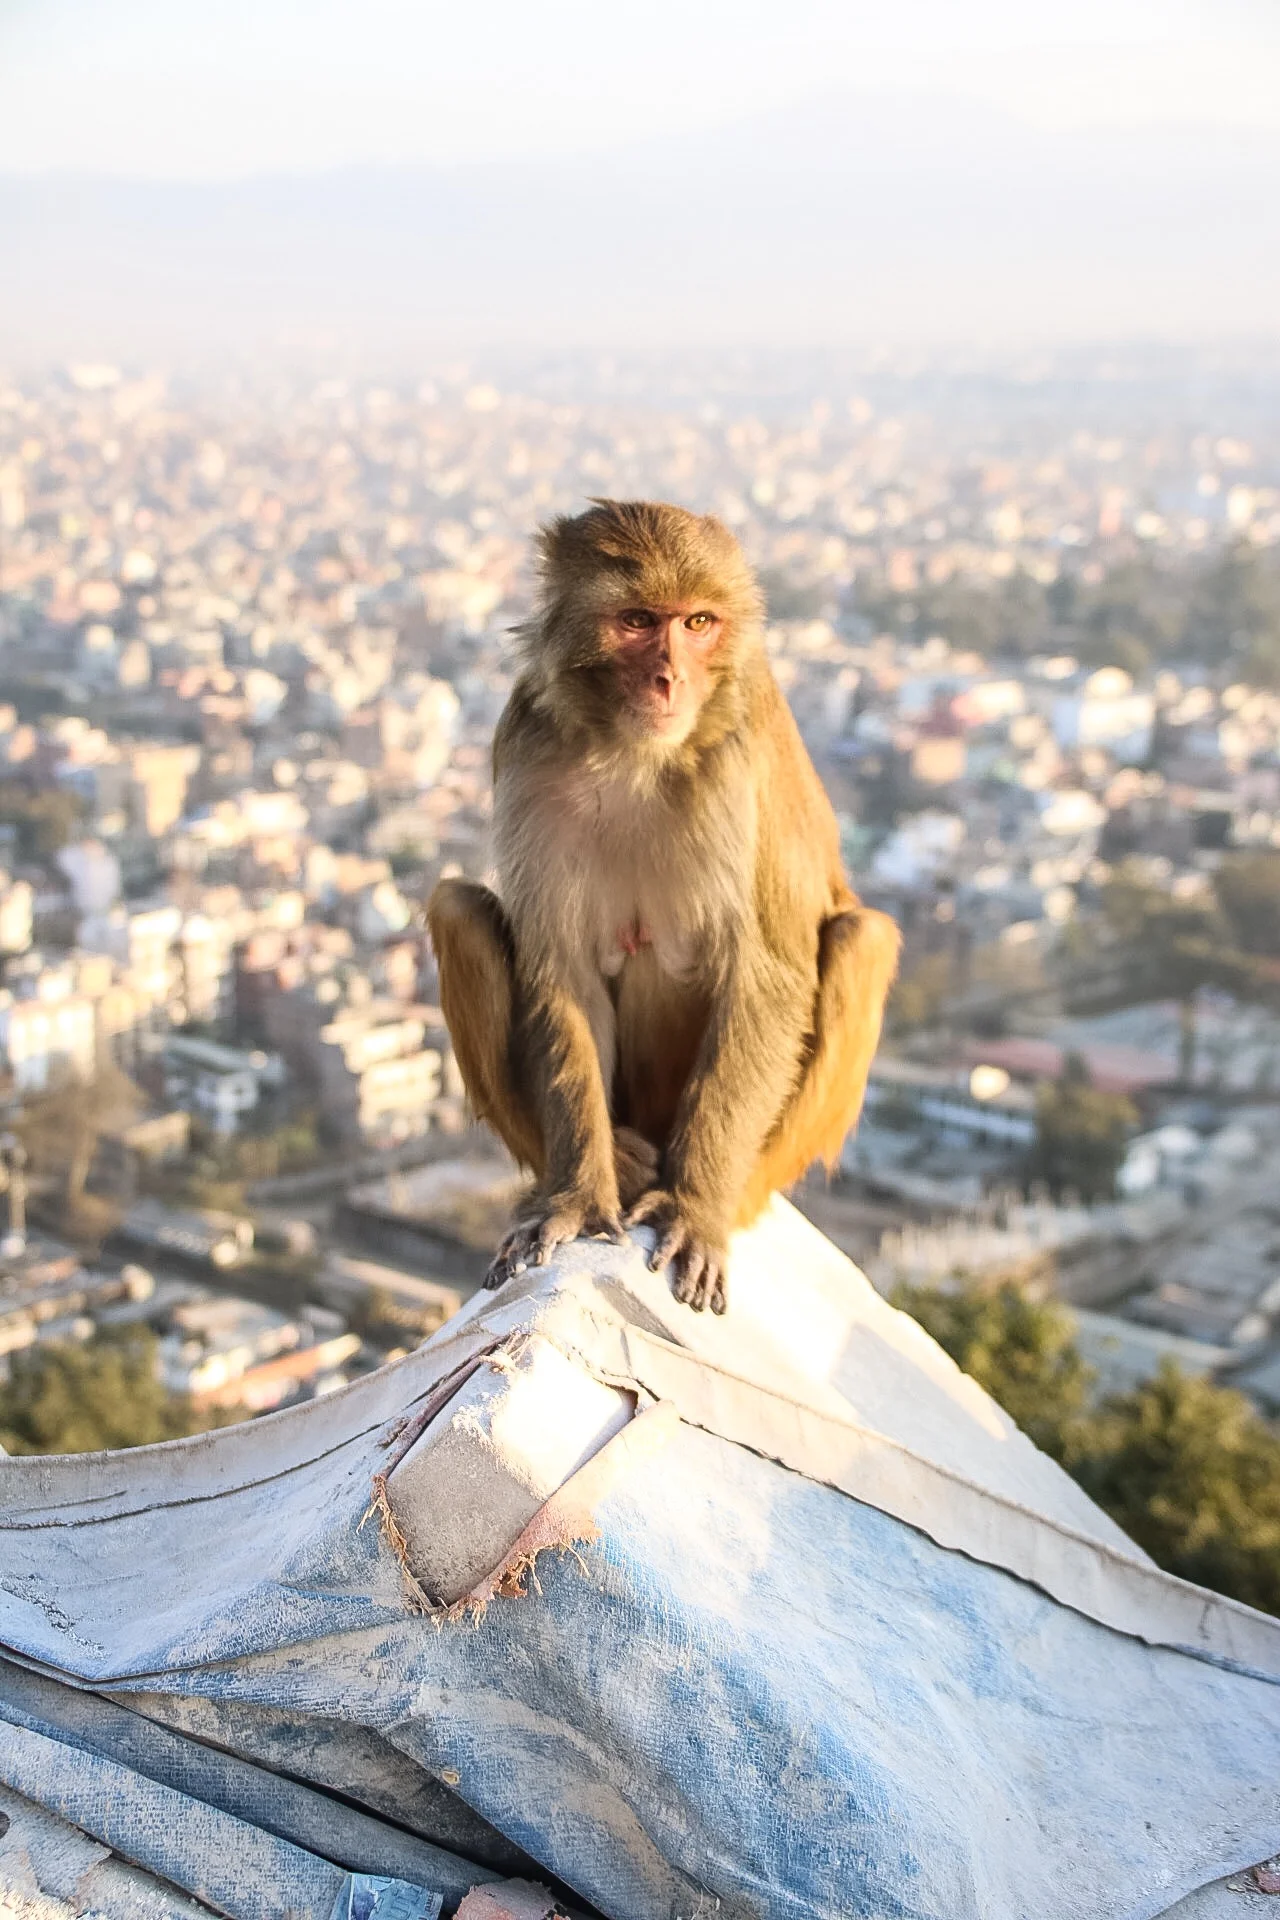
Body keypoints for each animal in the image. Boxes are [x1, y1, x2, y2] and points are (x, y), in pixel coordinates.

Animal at [427, 499, 900, 1315]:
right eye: (639, 620)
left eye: (699, 622)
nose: (669, 678)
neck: (633, 751)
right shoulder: (528, 749)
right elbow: (561, 974)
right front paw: (577, 1198)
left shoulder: (738, 765)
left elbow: (767, 977)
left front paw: (694, 1209)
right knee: (457, 909)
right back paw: (605, 1169)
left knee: (860, 939)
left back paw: (707, 1193)